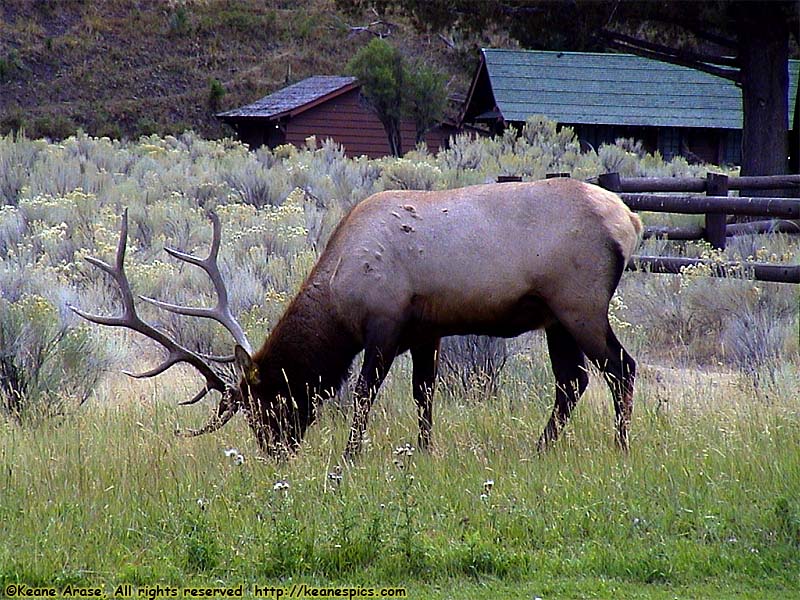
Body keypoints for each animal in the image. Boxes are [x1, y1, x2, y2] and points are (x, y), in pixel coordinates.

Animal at [70, 178, 644, 460]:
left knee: (621, 367)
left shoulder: (385, 325)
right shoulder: (426, 331)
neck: (339, 298)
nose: (274, 454)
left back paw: (620, 447)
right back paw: (540, 449)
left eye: (268, 406)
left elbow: (364, 394)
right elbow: (423, 395)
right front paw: (424, 451)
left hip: (579, 303)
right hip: (555, 318)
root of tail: (631, 219)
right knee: (573, 381)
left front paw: (349, 458)